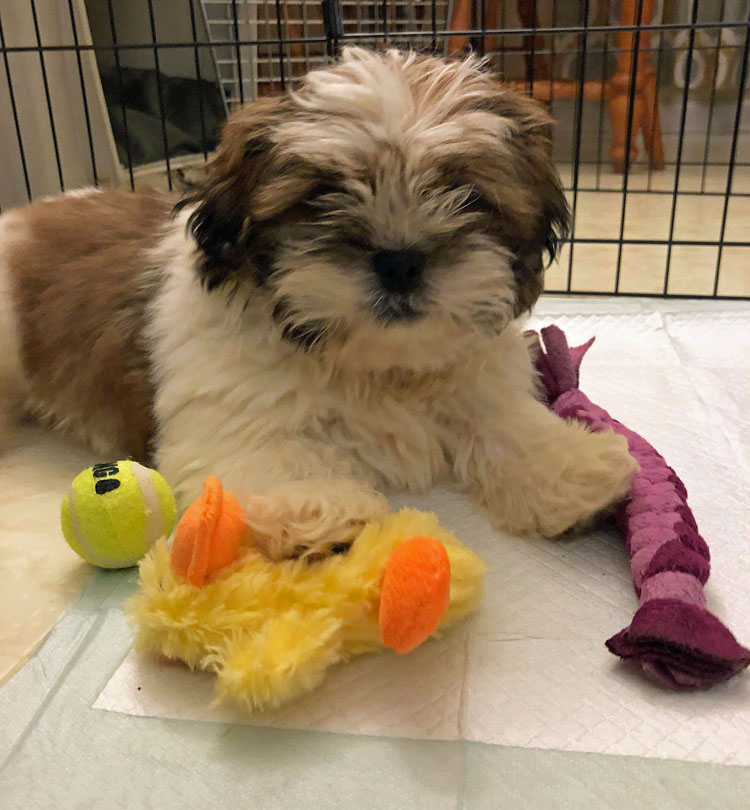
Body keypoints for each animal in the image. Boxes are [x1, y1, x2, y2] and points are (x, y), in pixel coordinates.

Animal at [0, 47, 636, 560]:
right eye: (321, 196)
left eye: (468, 195)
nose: (400, 259)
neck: (376, 366)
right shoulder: (230, 410)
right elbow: (273, 453)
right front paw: (317, 506)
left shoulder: (477, 381)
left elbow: (506, 422)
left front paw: (571, 471)